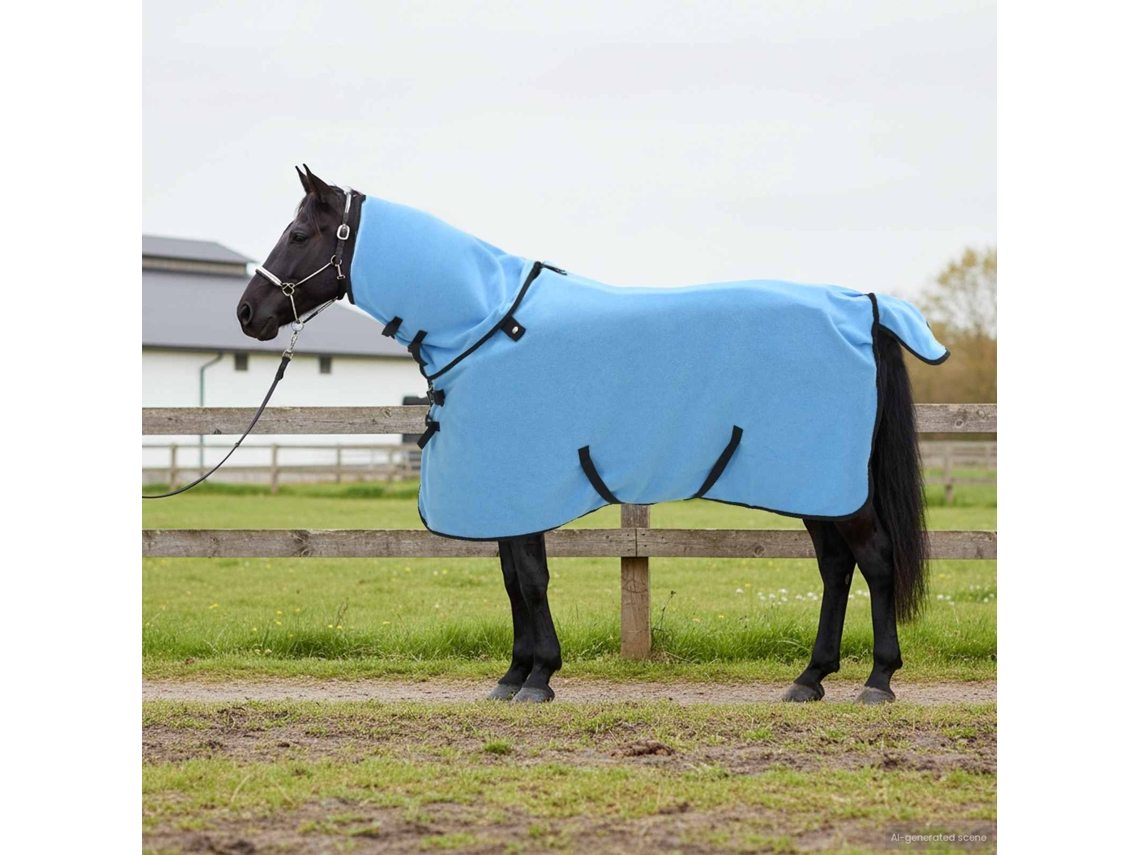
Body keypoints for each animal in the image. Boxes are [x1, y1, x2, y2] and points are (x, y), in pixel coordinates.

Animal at [237, 166, 947, 705]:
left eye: (298, 232)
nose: (248, 313)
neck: (488, 322)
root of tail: (863, 306)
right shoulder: (505, 496)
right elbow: (514, 580)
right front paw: (514, 676)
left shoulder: (522, 486)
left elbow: (530, 580)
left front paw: (539, 678)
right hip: (816, 488)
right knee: (836, 569)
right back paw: (810, 679)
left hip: (834, 489)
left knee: (875, 562)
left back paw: (878, 681)